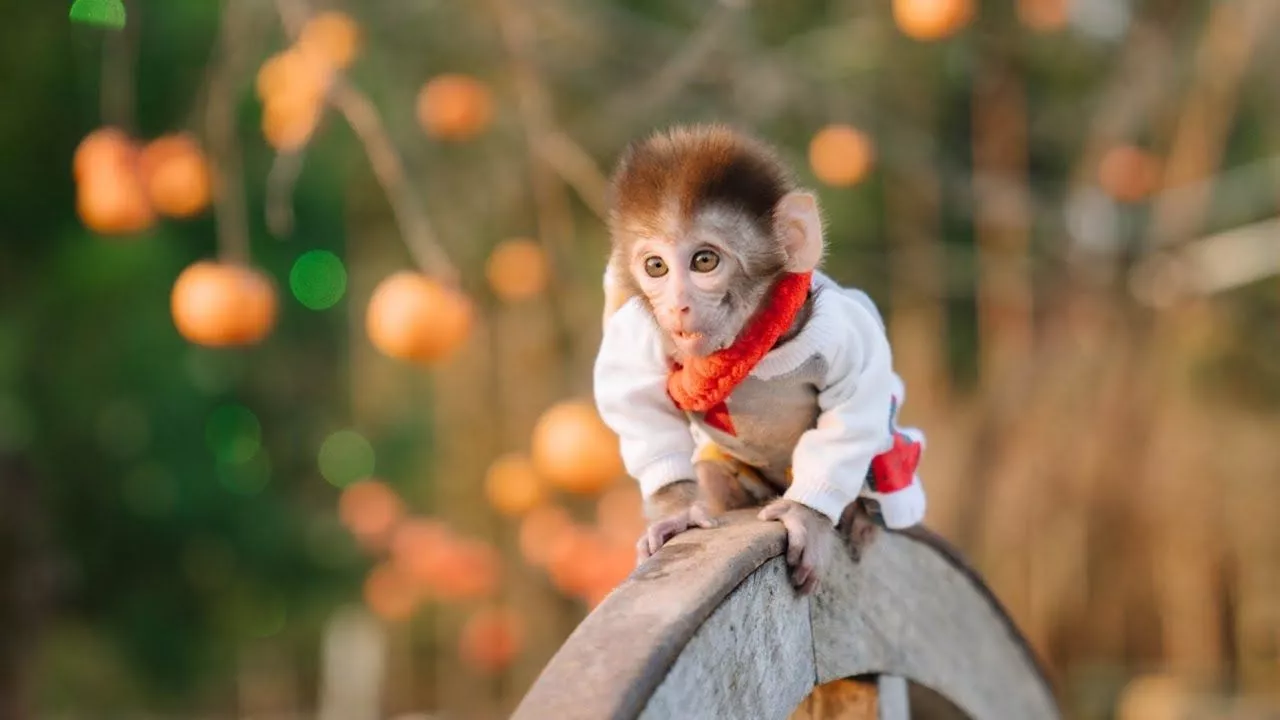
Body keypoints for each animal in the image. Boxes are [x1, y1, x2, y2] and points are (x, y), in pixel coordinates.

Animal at [592, 124, 927, 595]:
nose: (676, 306)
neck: (748, 343)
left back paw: (857, 513)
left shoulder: (845, 335)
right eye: (656, 266)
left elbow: (855, 410)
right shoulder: (642, 332)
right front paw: (677, 511)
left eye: (704, 260)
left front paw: (805, 517)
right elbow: (631, 394)